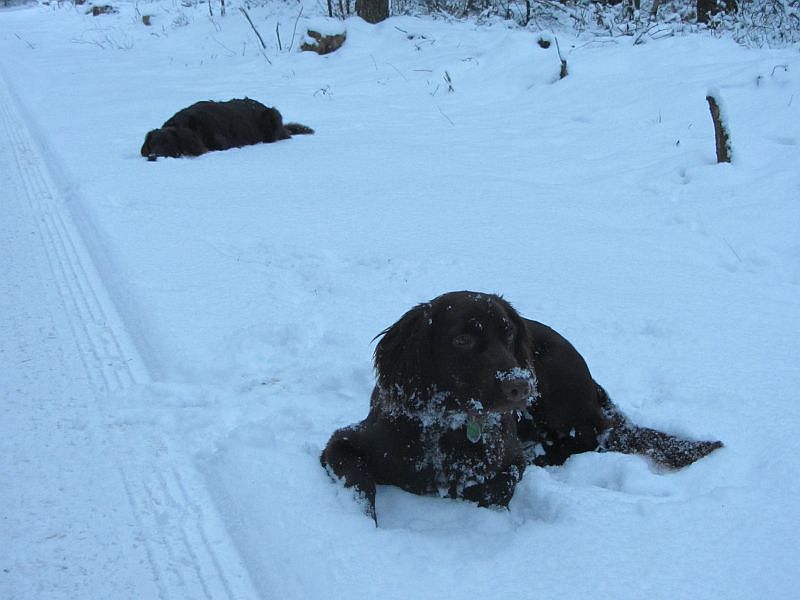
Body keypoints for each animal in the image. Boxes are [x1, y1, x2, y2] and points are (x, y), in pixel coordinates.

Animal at [321, 291, 723, 522]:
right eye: (463, 340)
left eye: (508, 333)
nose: (521, 384)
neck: (448, 426)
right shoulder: (342, 443)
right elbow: (361, 488)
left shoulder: (509, 460)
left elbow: (496, 487)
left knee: (583, 442)